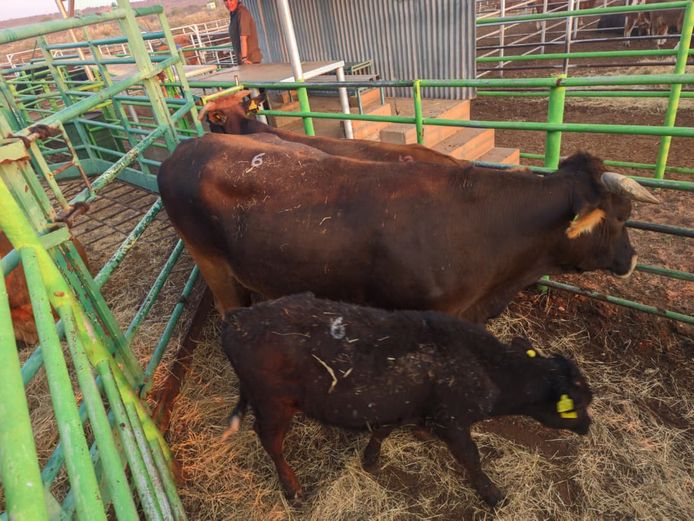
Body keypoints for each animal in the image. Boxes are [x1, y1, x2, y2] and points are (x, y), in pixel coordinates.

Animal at [221, 292, 593, 505]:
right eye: (578, 404)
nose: (588, 427)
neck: (488, 368)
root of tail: (238, 318)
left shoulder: (397, 404)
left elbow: (382, 431)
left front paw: (371, 458)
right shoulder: (454, 421)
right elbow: (471, 458)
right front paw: (492, 494)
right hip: (273, 403)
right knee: (271, 442)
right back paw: (293, 489)